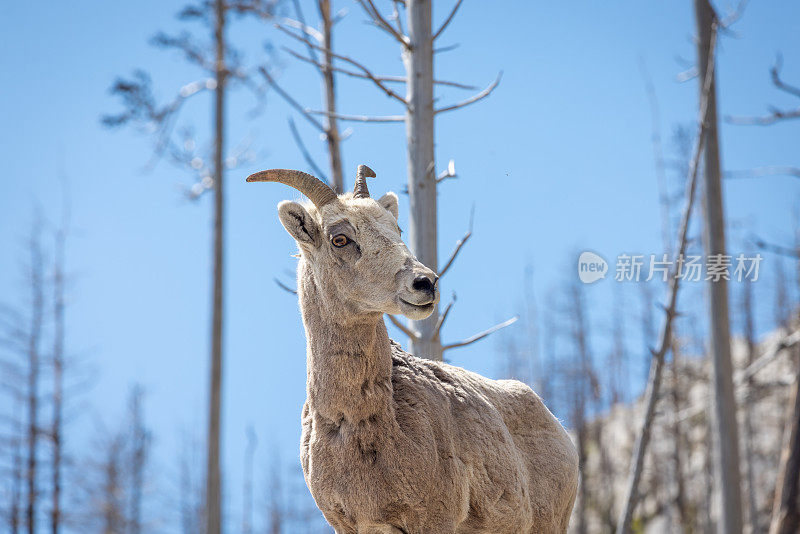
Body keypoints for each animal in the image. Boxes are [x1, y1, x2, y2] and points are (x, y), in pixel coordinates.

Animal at [247, 168, 580, 534]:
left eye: (397, 229)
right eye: (340, 239)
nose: (426, 283)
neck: (358, 425)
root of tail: (561, 433)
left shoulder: (433, 520)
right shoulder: (348, 525)